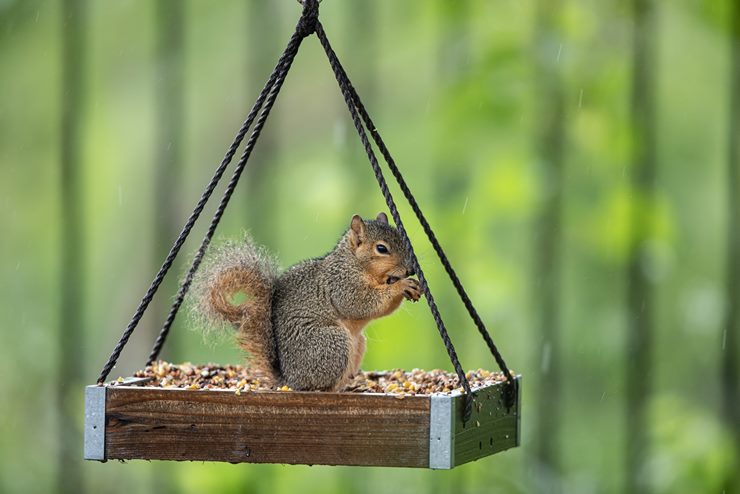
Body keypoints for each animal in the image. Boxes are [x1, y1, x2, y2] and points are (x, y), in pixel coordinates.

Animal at [189, 212, 422, 390]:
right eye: (381, 248)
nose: (410, 270)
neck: (354, 262)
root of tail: (290, 380)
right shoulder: (341, 285)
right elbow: (360, 304)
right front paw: (401, 286)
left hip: (356, 345)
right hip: (331, 343)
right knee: (319, 386)